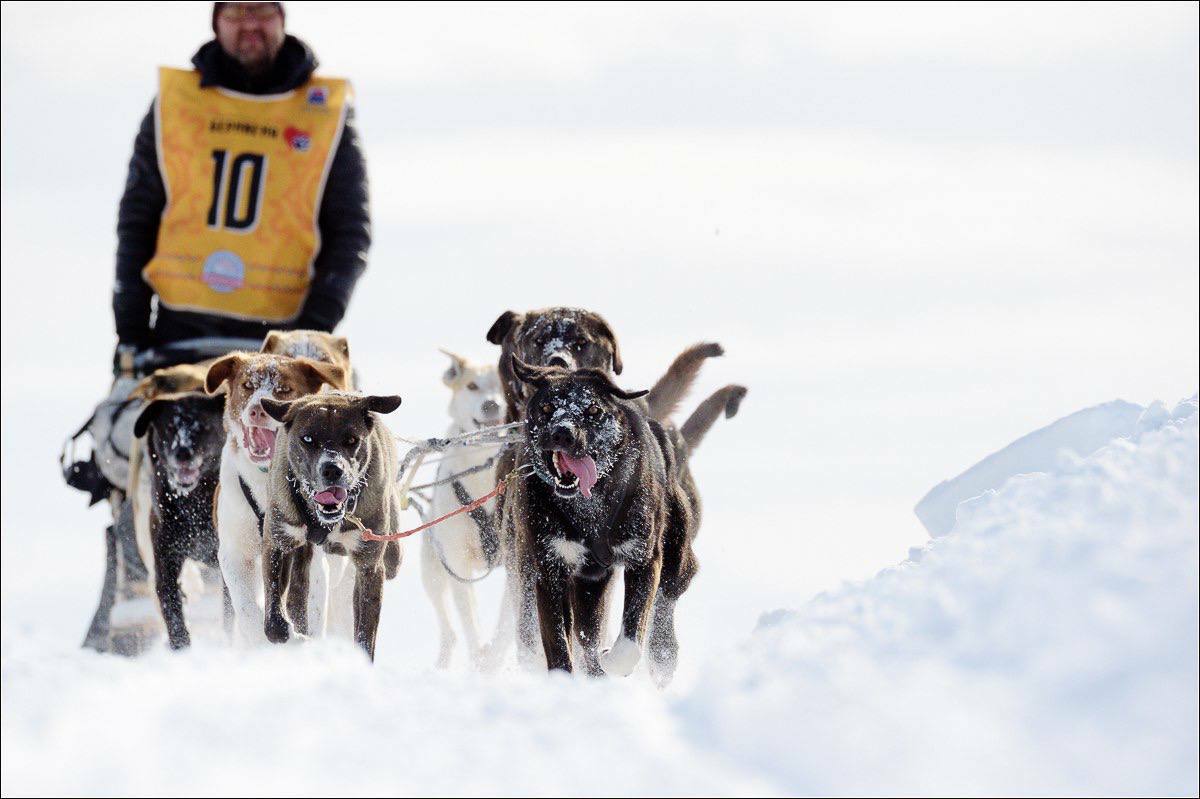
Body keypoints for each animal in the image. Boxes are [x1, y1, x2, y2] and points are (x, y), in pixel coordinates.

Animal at [135, 391, 230, 647]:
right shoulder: (166, 558)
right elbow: (170, 605)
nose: (183, 453)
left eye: (203, 426)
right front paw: (180, 645)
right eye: (170, 427)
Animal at [420, 347, 504, 667]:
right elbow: (471, 626)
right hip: (432, 570)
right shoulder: (458, 564)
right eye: (472, 386)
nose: (492, 404)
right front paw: (481, 659)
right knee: (450, 631)